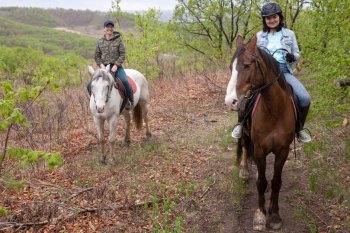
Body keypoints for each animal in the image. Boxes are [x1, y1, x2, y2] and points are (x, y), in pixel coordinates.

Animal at [224, 35, 296, 230]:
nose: (230, 101)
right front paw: (260, 215)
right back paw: (244, 169)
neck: (274, 111)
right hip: (245, 130)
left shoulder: (283, 151)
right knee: (244, 145)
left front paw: (275, 216)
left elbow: (276, 182)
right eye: (231, 67)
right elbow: (261, 183)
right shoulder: (259, 150)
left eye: (247, 65)